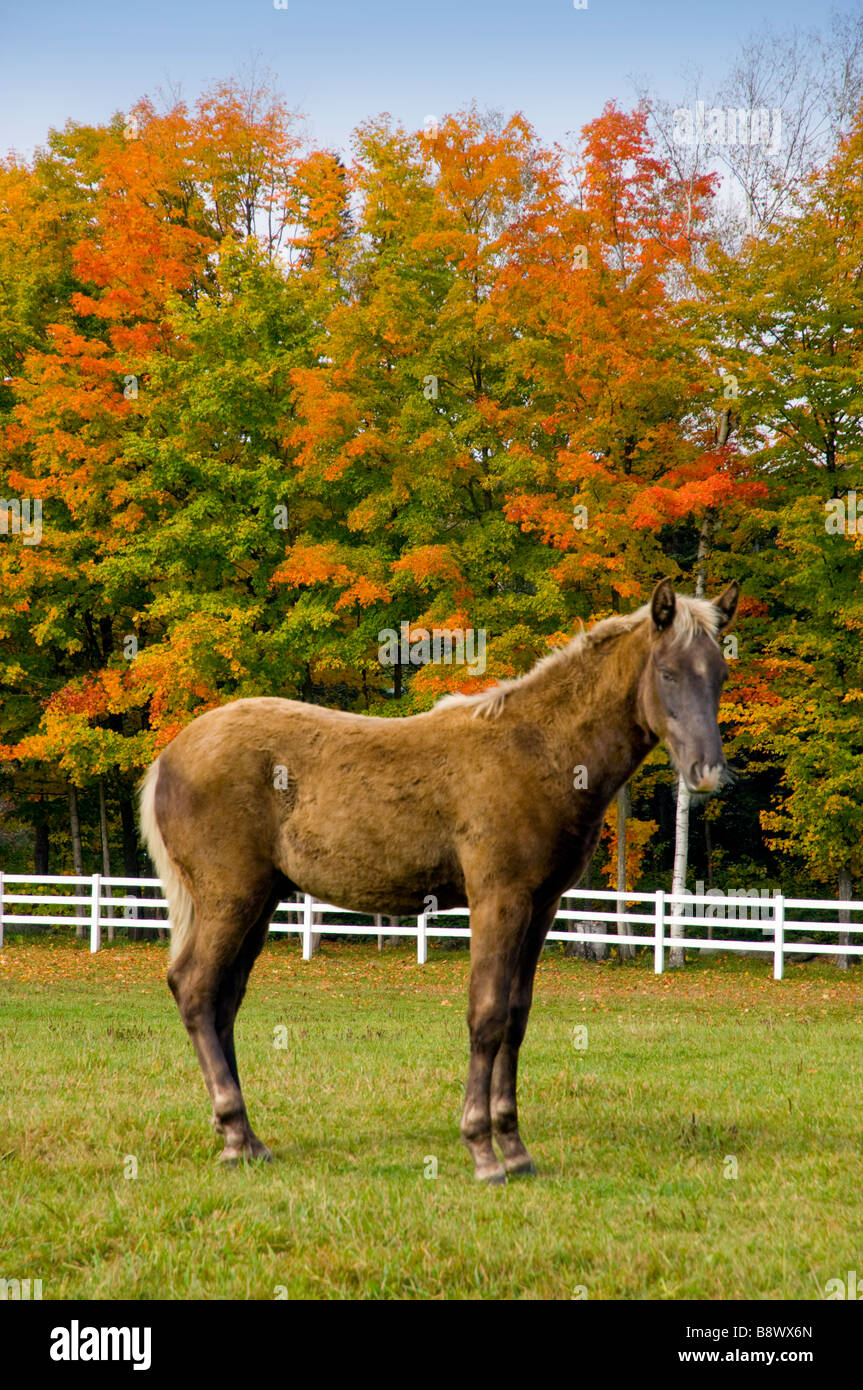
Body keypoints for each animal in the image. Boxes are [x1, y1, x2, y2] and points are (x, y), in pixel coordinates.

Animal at [138, 575, 739, 1184]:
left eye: (719, 673)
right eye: (667, 672)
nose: (707, 773)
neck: (539, 751)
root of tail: (170, 756)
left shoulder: (541, 906)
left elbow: (516, 1018)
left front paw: (514, 1147)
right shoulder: (498, 898)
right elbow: (487, 1015)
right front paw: (482, 1151)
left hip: (259, 902)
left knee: (224, 1001)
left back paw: (247, 1139)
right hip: (229, 899)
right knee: (196, 989)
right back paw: (236, 1132)